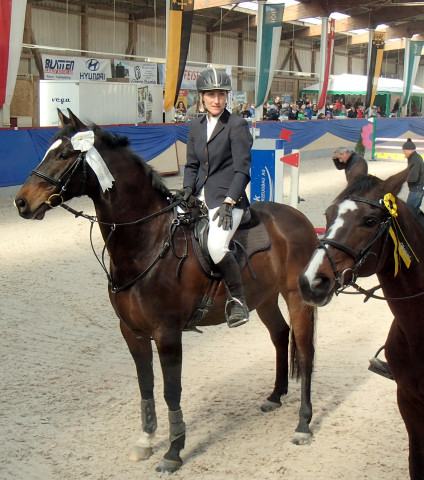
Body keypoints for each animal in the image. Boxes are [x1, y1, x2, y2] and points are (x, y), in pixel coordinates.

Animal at [14, 110, 318, 474]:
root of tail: (299, 217)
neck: (146, 242)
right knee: (280, 335)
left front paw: (173, 451)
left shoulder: (168, 334)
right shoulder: (131, 331)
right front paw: (146, 440)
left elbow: (172, 391)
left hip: (298, 299)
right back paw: (274, 396)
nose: (21, 202)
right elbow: (145, 386)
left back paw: (303, 425)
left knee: (305, 351)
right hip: (265, 299)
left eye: (63, 155)